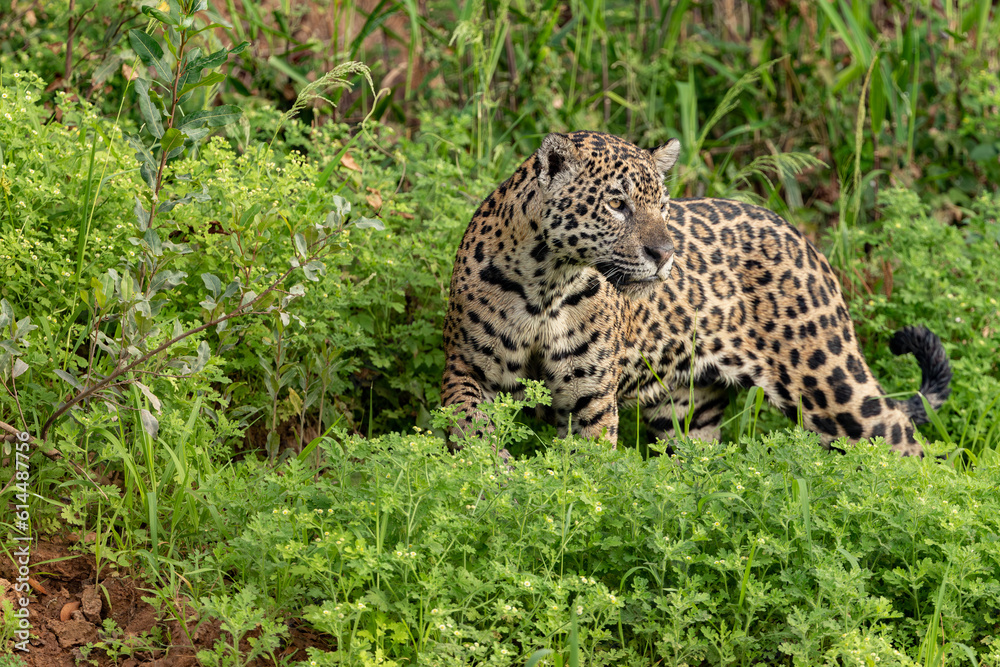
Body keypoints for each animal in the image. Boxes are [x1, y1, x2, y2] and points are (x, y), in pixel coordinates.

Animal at [440, 131, 952, 457]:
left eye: (663, 206)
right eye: (616, 204)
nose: (665, 254)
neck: (547, 284)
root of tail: (800, 236)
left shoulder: (590, 397)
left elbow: (589, 463)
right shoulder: (466, 367)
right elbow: (467, 423)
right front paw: (493, 471)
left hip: (828, 378)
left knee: (900, 438)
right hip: (688, 410)